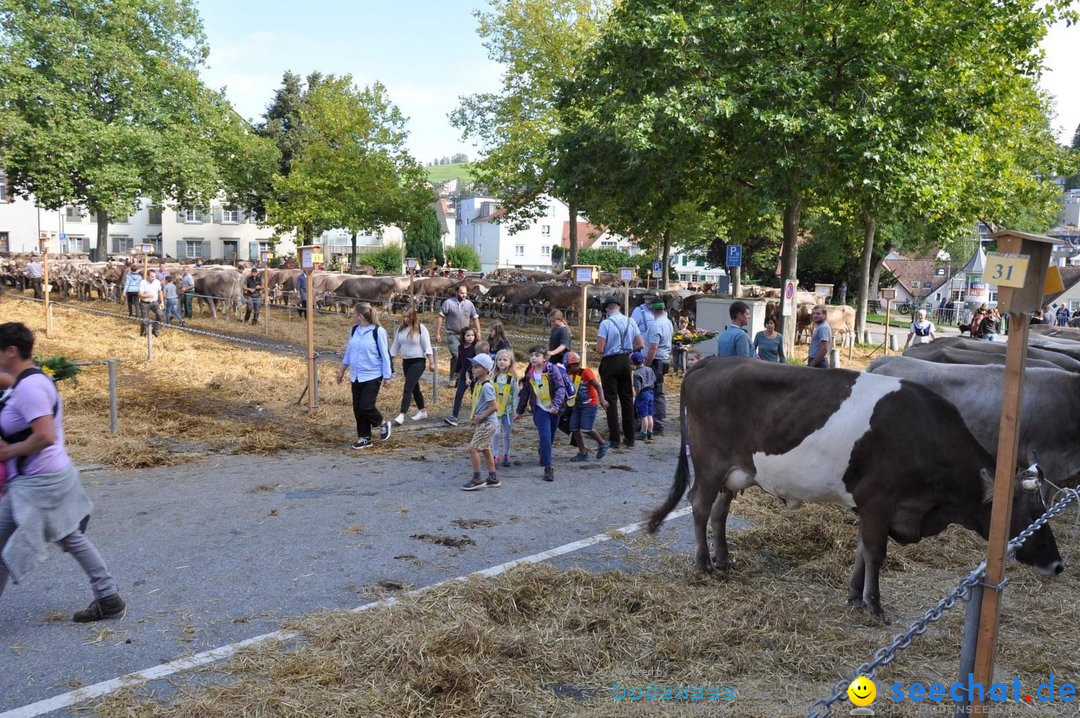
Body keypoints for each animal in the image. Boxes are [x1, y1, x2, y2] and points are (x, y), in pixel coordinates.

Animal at [648, 358, 1062, 617]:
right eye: (1031, 513)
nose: (1058, 565)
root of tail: (713, 361)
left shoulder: (871, 506)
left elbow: (863, 550)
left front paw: (853, 596)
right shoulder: (879, 500)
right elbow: (876, 552)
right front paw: (873, 605)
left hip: (737, 472)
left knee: (719, 512)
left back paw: (723, 559)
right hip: (710, 464)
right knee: (699, 507)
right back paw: (703, 564)